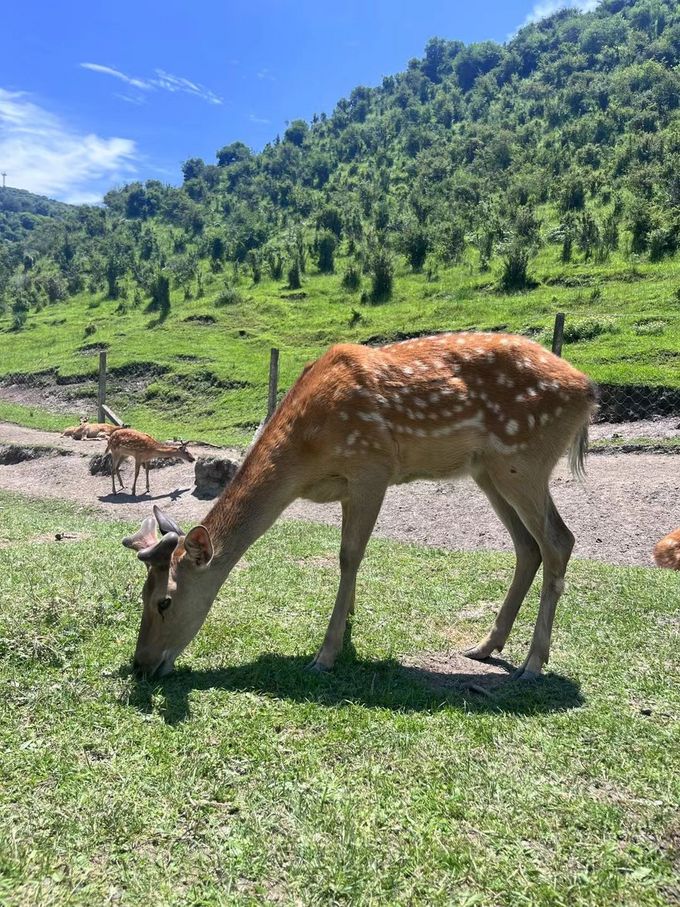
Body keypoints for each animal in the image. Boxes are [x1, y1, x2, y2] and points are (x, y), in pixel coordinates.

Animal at [121, 334, 596, 680]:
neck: (304, 458)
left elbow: (350, 556)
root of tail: (588, 389)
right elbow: (347, 557)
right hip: (489, 471)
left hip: (524, 460)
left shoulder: (372, 467)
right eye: (140, 593)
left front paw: (326, 653)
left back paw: (533, 663)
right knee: (527, 546)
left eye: (164, 601)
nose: (141, 665)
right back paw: (484, 646)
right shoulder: (349, 487)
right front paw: (346, 626)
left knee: (559, 540)